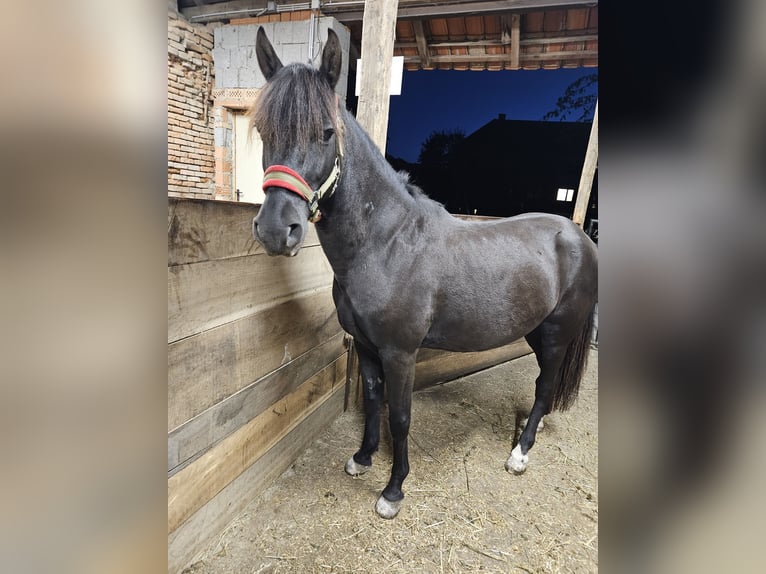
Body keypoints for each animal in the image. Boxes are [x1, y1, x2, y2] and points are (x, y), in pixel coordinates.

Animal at [252, 28, 600, 520]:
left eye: (325, 133)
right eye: (264, 131)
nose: (276, 230)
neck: (387, 244)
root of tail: (579, 236)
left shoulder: (401, 353)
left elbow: (400, 416)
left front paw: (393, 490)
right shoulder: (367, 346)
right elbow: (373, 401)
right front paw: (362, 458)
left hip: (554, 338)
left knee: (544, 387)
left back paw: (520, 453)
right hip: (534, 332)